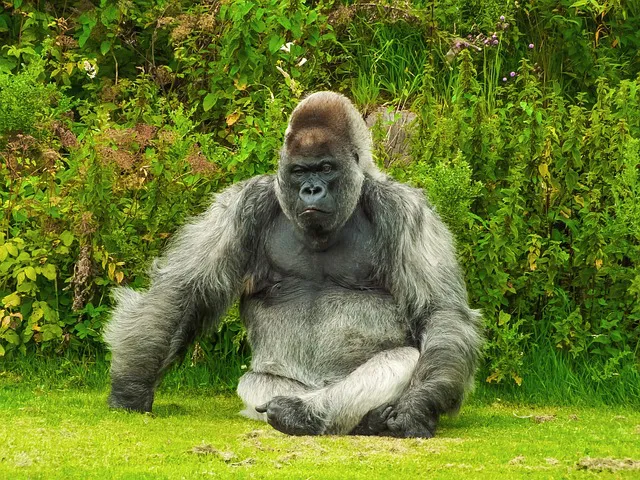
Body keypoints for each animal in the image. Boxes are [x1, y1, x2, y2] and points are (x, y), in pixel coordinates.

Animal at [104, 91, 483, 438]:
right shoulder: (241, 205)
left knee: (404, 359)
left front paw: (418, 405)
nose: (311, 190)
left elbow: (439, 313)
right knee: (257, 382)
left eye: (326, 168)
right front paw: (131, 387)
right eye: (300, 171)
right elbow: (182, 291)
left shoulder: (406, 210)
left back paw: (310, 414)